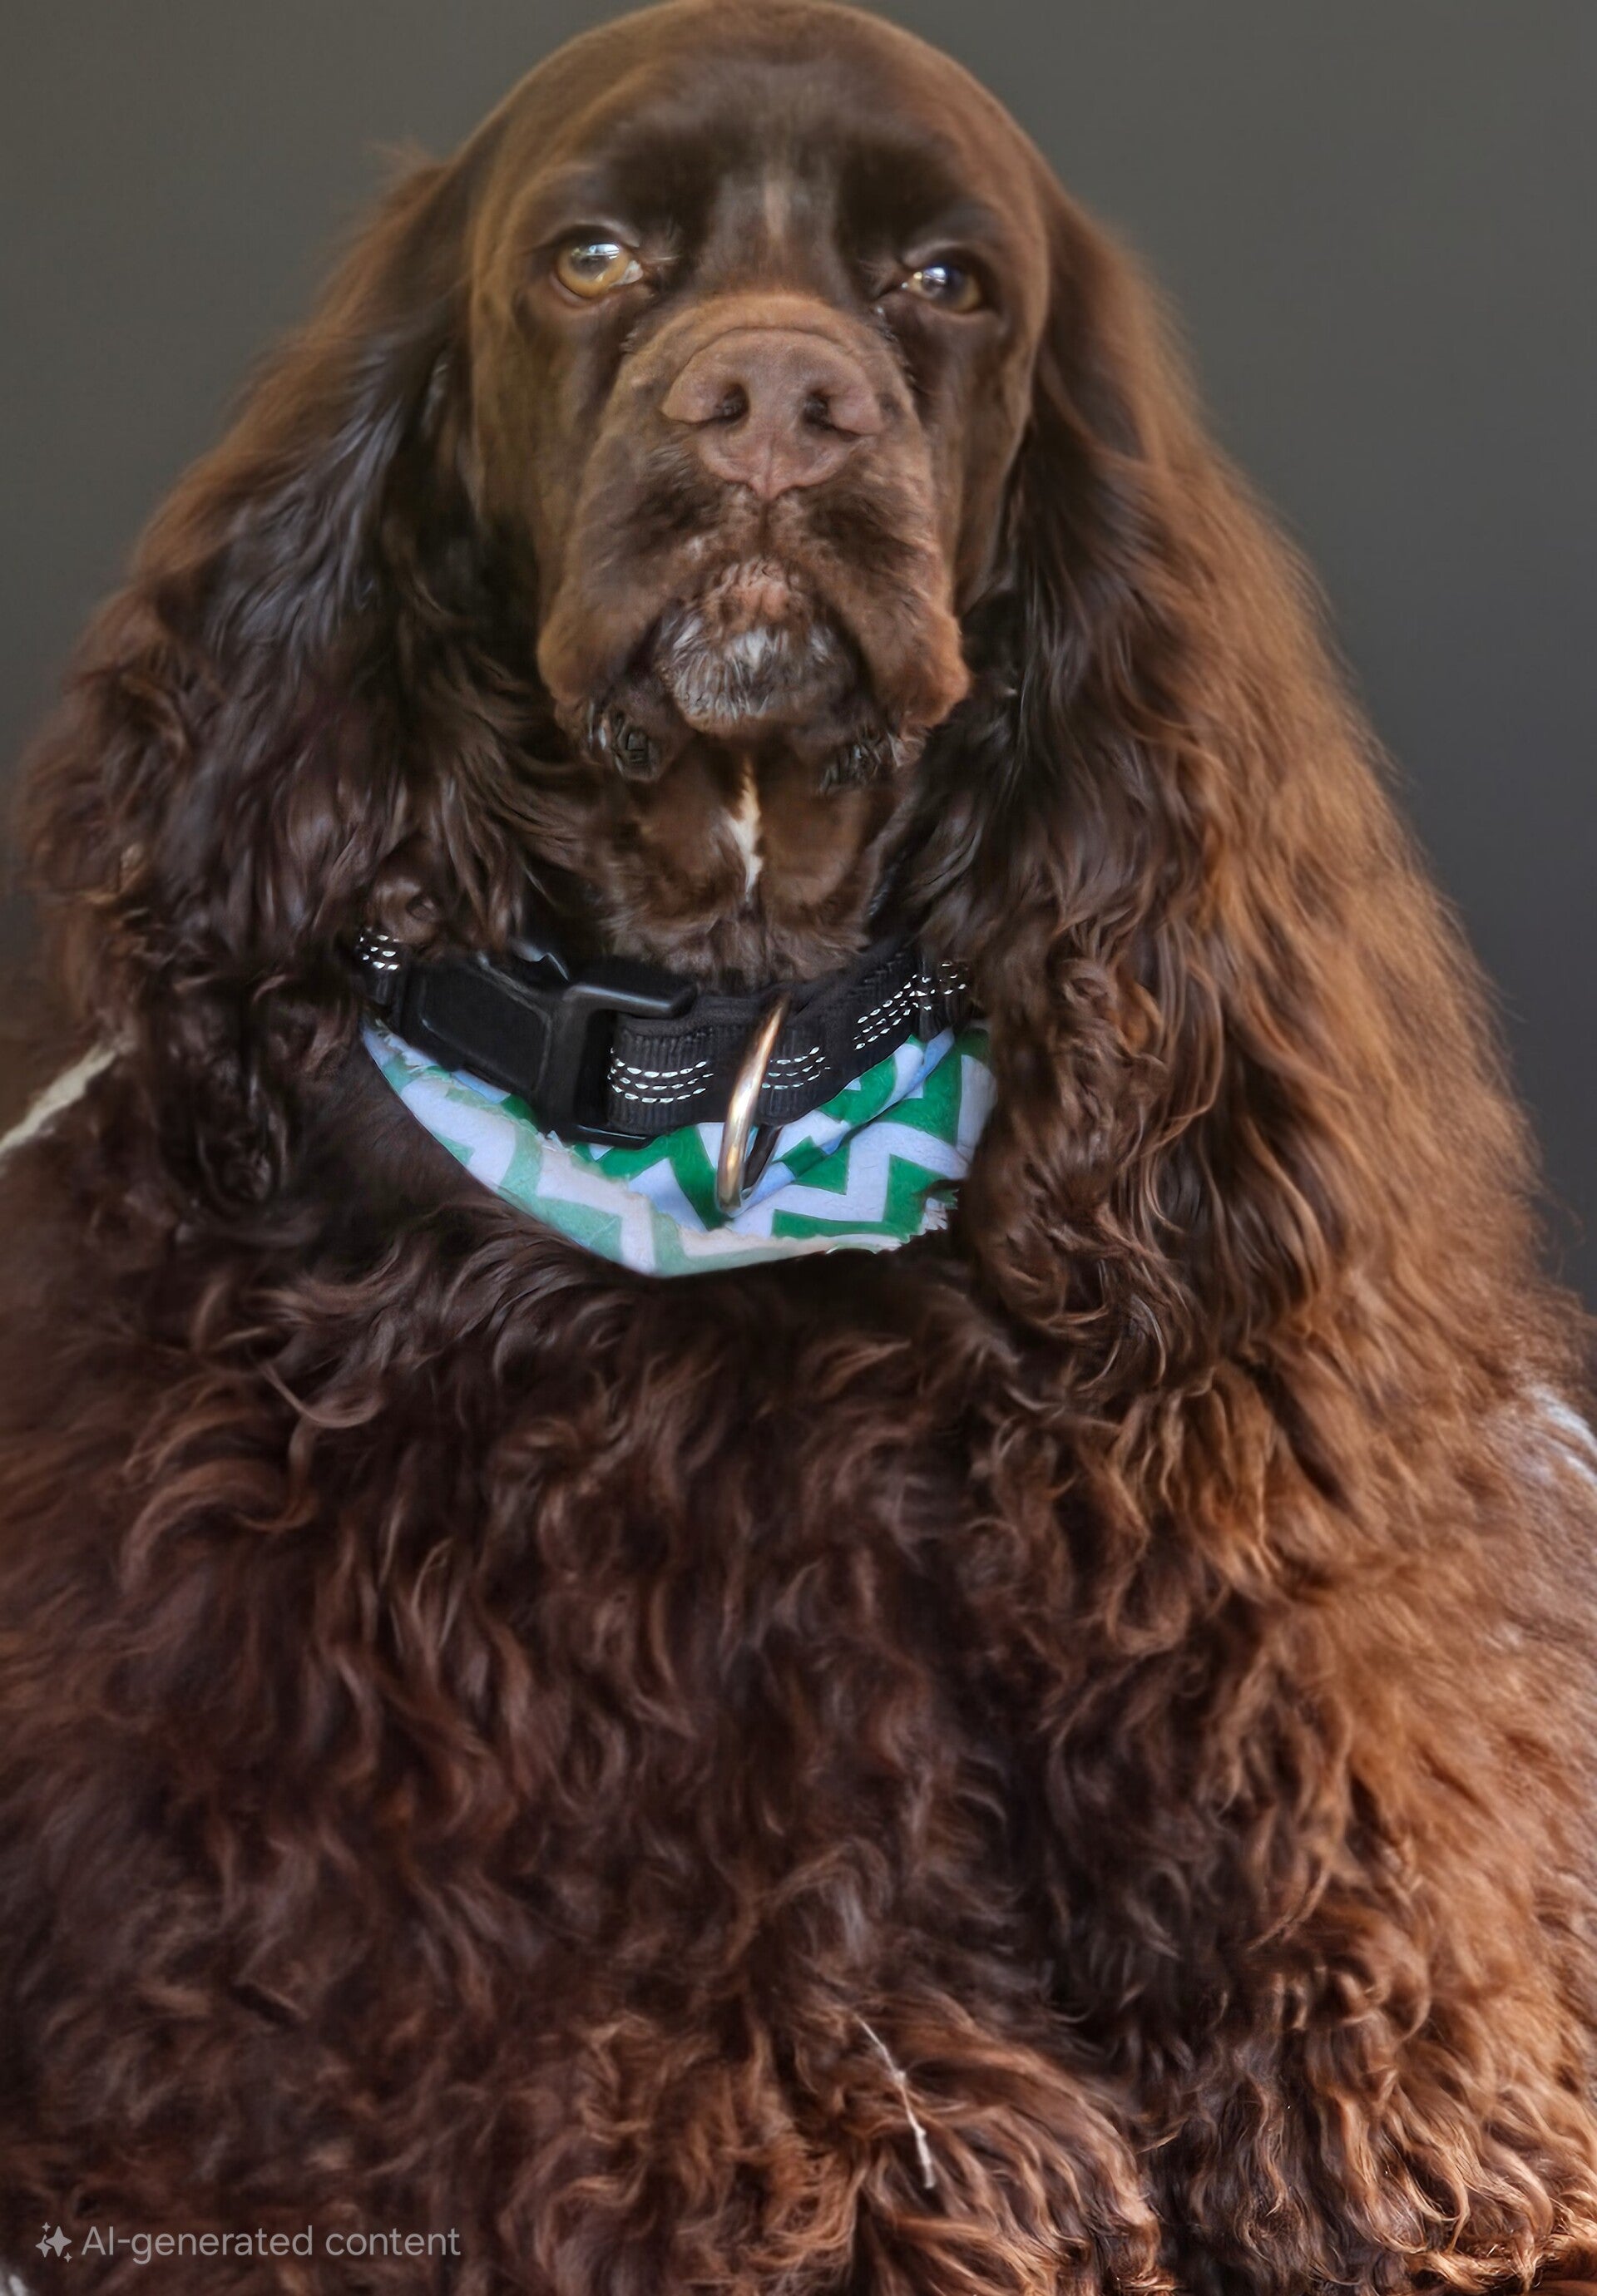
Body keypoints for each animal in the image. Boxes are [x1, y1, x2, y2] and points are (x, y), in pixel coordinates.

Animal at [4, 3, 1596, 2290]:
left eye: (944, 281)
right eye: (591, 258)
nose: (773, 398)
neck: (738, 1063)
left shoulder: (1205, 1534)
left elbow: (1344, 1849)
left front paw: (1410, 2115)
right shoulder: (284, 1790)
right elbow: (548, 1951)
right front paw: (888, 2143)